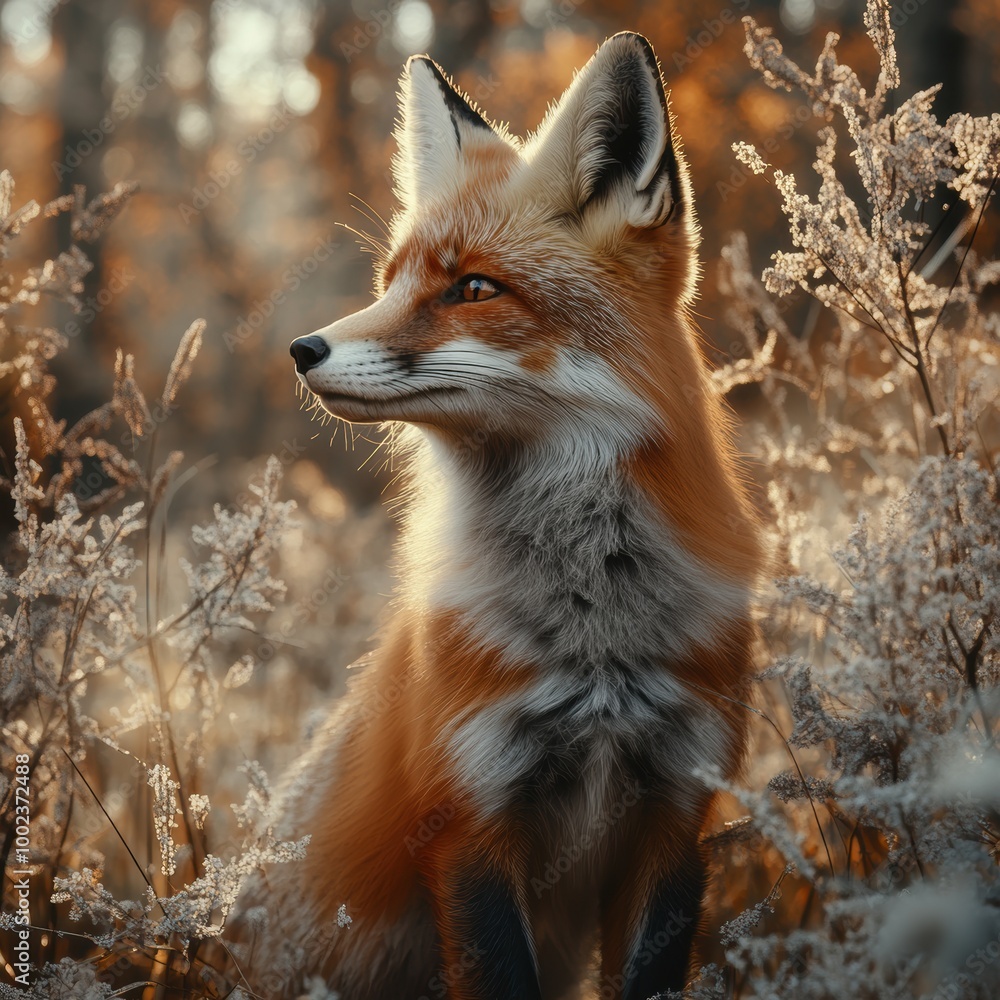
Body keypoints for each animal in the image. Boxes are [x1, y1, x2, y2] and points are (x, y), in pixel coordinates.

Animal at [231, 31, 763, 1000]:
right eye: (391, 280)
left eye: (475, 289)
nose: (301, 349)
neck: (598, 640)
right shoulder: (467, 820)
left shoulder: (677, 813)